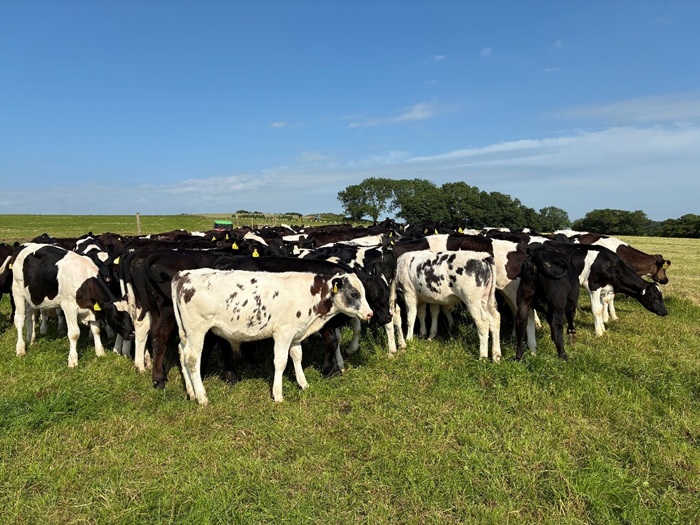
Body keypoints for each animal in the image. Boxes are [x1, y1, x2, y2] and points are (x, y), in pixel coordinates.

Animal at [172, 268, 373, 404]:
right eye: (354, 293)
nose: (370, 313)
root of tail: (184, 274)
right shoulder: (283, 333)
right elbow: (281, 362)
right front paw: (278, 394)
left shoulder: (296, 334)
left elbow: (297, 357)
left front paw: (303, 383)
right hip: (197, 330)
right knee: (192, 359)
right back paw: (201, 397)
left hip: (186, 333)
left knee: (182, 353)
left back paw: (191, 392)